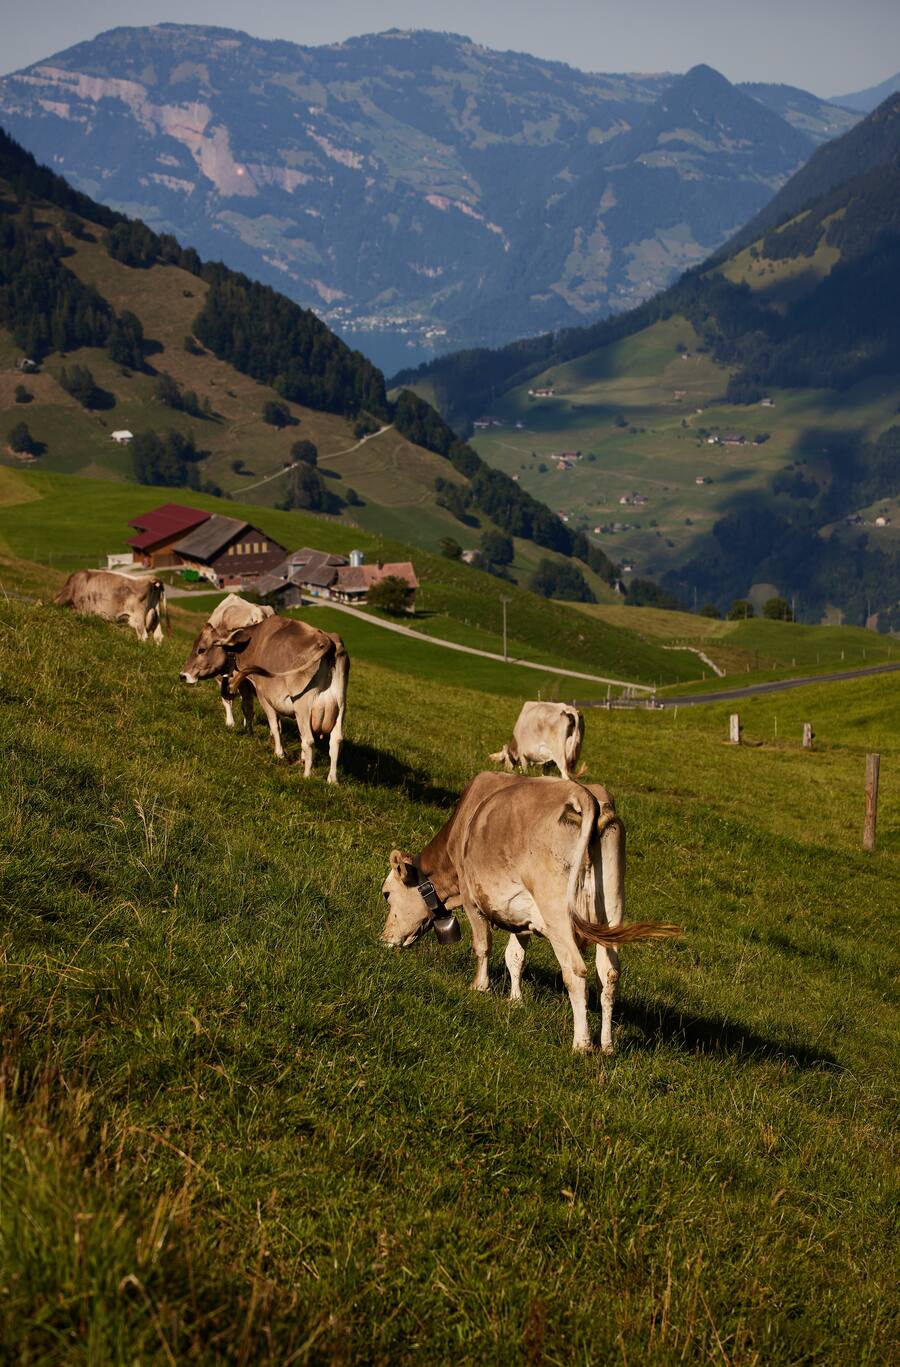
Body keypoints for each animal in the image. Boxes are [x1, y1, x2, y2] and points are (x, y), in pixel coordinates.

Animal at [179, 614, 349, 783]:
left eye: (201, 649)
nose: (183, 675)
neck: (253, 644)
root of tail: (328, 640)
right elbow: (253, 711)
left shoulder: (262, 694)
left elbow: (272, 724)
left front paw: (279, 753)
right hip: (340, 706)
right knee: (336, 741)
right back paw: (332, 779)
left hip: (303, 707)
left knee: (309, 740)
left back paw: (306, 775)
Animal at [380, 771, 680, 1053]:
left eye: (386, 894)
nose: (384, 939)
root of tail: (583, 794)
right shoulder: (522, 914)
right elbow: (515, 957)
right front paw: (515, 1001)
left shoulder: (471, 898)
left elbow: (482, 946)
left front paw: (480, 987)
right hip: (613, 907)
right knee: (608, 974)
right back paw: (606, 1045)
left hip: (557, 911)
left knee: (576, 971)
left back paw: (582, 1044)